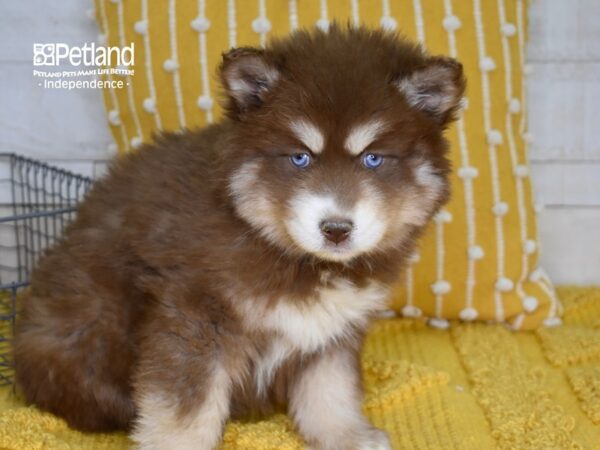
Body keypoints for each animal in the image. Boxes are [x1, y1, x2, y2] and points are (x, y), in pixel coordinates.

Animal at [12, 25, 464, 450]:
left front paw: (347, 436)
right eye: (299, 157)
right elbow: (186, 408)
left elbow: (330, 391)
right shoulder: (193, 314)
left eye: (373, 159)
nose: (336, 229)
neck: (283, 250)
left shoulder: (334, 326)